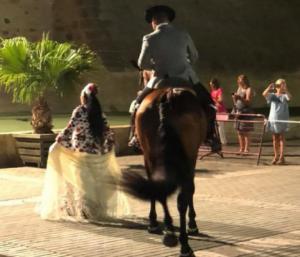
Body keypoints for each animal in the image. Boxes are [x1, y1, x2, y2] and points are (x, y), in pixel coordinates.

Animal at [120, 82, 207, 256]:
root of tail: (167, 95)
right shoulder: (190, 160)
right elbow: (190, 191)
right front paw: (192, 224)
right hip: (188, 156)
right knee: (182, 197)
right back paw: (184, 245)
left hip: (149, 154)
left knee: (158, 188)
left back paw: (165, 230)